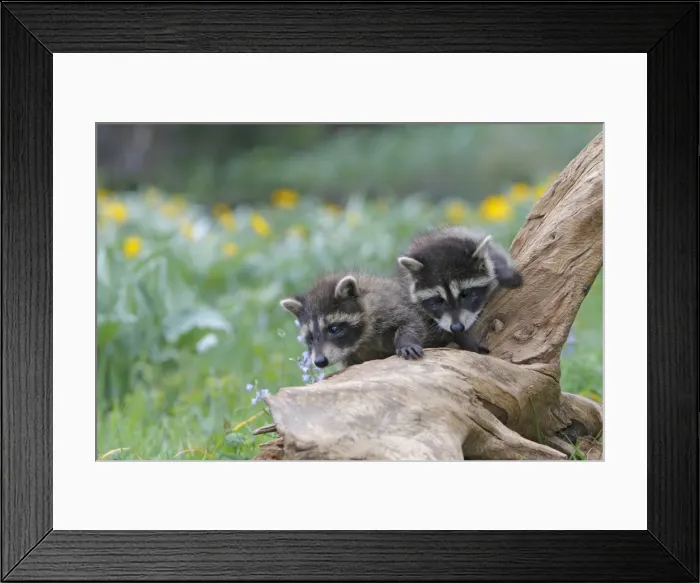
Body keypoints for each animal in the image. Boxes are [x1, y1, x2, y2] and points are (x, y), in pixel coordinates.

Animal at [280, 272, 436, 370]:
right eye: (310, 337)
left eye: (333, 329)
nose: (319, 361)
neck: (360, 341)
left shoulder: (386, 305)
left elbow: (411, 321)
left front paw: (407, 341)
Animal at [397, 226, 523, 354]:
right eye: (439, 300)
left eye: (465, 294)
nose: (457, 328)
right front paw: (463, 338)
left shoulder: (468, 236)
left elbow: (494, 254)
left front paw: (504, 271)